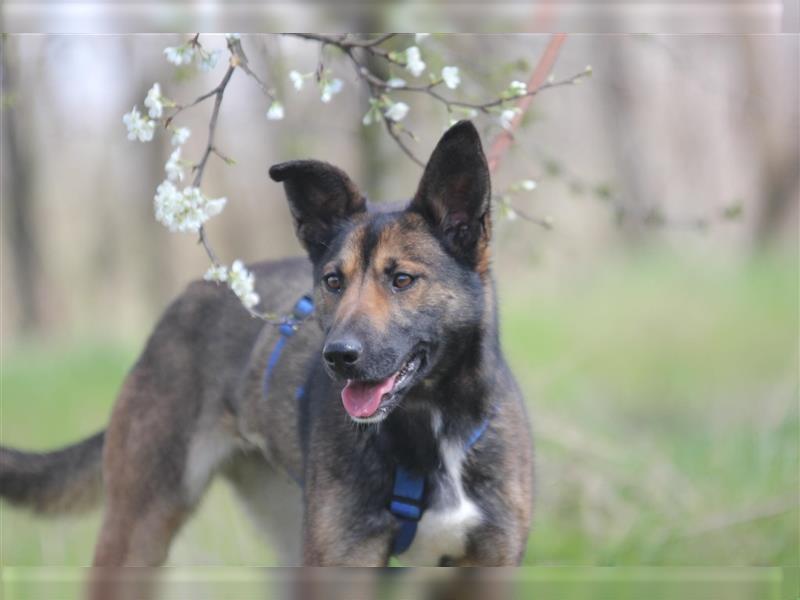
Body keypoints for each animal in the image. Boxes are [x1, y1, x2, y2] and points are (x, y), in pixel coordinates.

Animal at [4, 119, 536, 568]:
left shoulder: (487, 564)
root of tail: (188, 297)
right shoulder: (341, 564)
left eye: (402, 279)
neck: (434, 426)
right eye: (333, 281)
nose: (338, 358)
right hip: (139, 527)